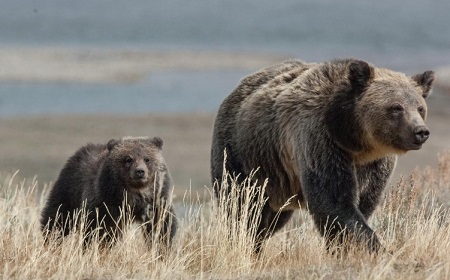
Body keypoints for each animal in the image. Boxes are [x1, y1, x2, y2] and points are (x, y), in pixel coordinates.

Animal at [40, 137, 178, 248]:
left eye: (147, 159)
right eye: (128, 159)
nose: (140, 171)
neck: (134, 195)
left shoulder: (156, 201)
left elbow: (161, 226)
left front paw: (161, 248)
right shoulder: (105, 201)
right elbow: (99, 228)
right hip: (70, 188)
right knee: (58, 217)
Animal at [212, 58, 436, 253]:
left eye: (420, 108)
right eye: (396, 107)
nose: (420, 131)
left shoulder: (375, 163)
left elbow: (363, 201)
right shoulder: (320, 141)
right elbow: (333, 201)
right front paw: (374, 248)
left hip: (278, 182)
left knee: (272, 219)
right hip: (244, 155)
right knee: (243, 207)